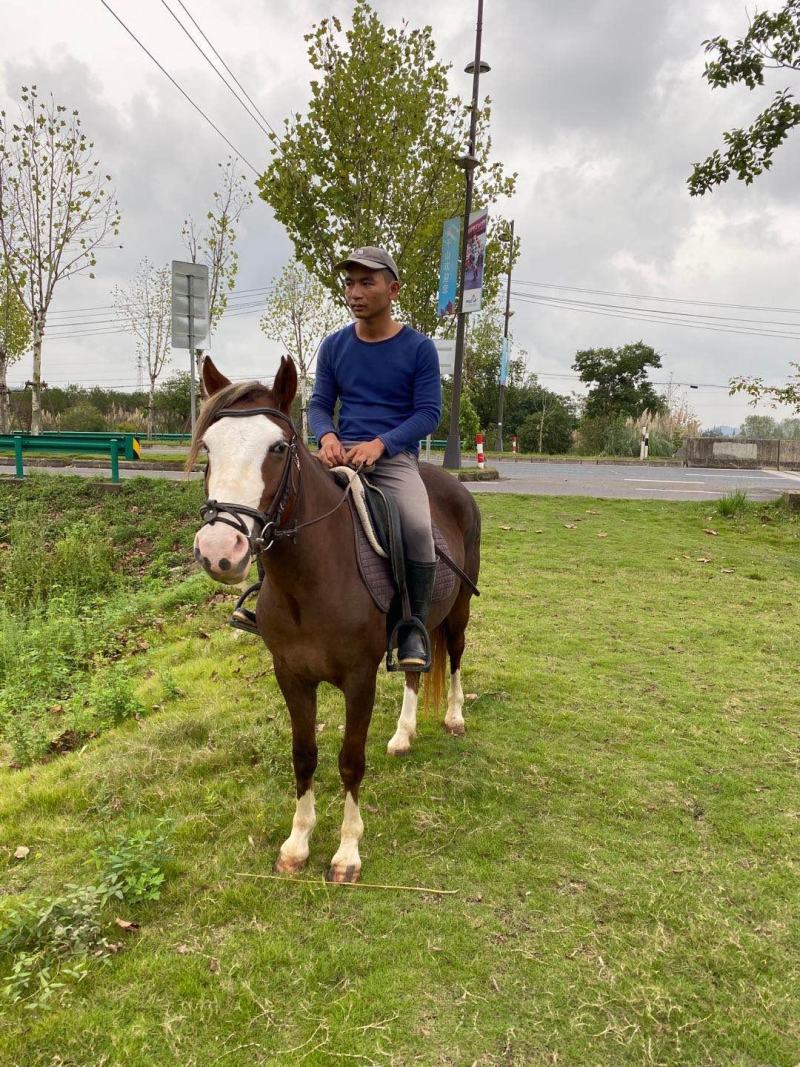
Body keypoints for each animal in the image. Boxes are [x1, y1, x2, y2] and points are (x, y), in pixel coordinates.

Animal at [189, 355, 481, 883]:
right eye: (207, 447)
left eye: (278, 447)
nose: (220, 549)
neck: (311, 579)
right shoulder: (291, 675)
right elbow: (304, 756)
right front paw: (297, 843)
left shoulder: (358, 679)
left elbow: (350, 761)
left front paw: (347, 853)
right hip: (418, 625)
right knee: (415, 666)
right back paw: (403, 734)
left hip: (460, 611)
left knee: (454, 657)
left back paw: (453, 716)